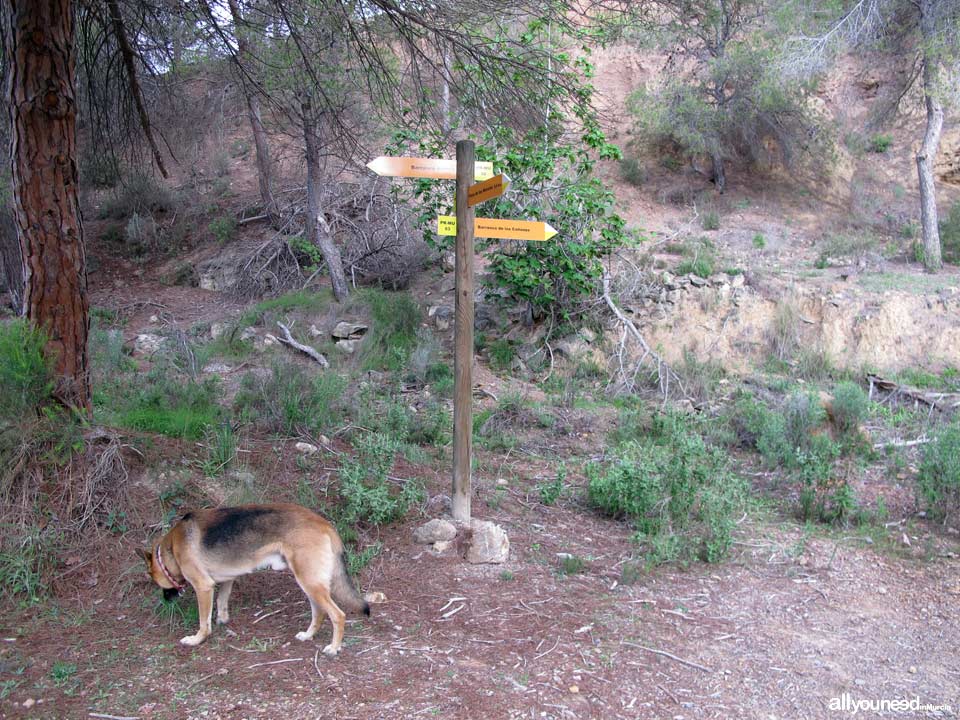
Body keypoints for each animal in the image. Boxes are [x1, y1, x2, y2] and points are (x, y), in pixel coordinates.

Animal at [141, 504, 370, 656]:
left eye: (156, 581)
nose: (166, 600)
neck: (171, 547)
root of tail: (324, 524)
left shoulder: (203, 587)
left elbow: (203, 622)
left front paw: (197, 639)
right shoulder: (226, 580)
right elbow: (222, 602)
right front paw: (222, 619)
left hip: (310, 583)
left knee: (338, 615)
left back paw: (333, 648)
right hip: (309, 584)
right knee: (320, 613)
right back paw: (308, 636)